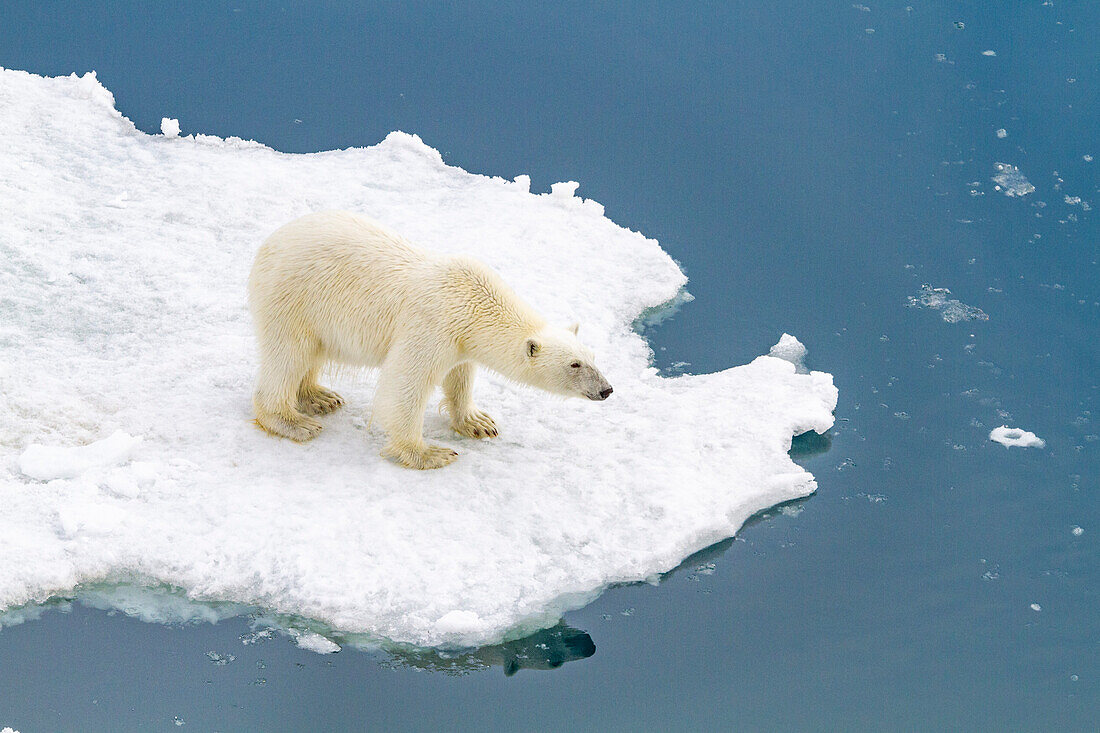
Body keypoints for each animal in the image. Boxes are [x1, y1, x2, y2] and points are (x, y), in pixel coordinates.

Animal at [246, 211, 616, 468]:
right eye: (575, 364)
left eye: (593, 357)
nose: (606, 390)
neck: (474, 300)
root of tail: (267, 244)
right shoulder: (431, 325)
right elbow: (405, 383)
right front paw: (429, 453)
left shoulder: (461, 340)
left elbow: (461, 375)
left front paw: (478, 422)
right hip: (294, 297)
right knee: (288, 354)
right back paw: (293, 422)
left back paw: (320, 397)